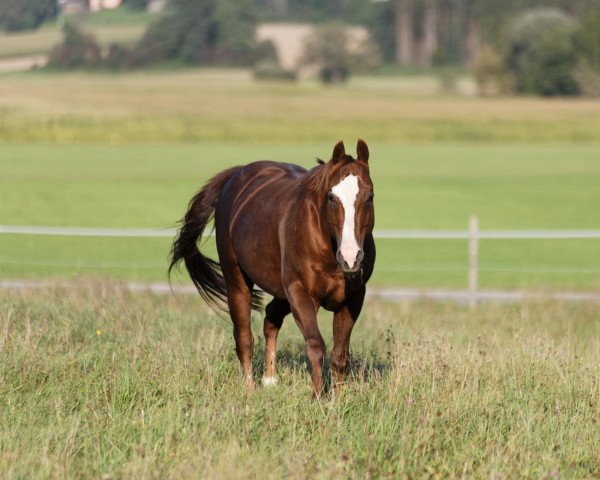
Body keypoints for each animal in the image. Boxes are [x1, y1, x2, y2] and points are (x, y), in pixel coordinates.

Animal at [170, 140, 376, 398]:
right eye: (331, 196)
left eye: (370, 196)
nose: (350, 257)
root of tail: (236, 176)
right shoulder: (300, 293)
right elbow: (316, 346)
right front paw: (318, 397)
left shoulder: (353, 298)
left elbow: (340, 355)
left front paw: (337, 400)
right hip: (237, 280)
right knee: (244, 337)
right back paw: (250, 388)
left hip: (281, 290)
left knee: (271, 317)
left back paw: (269, 378)